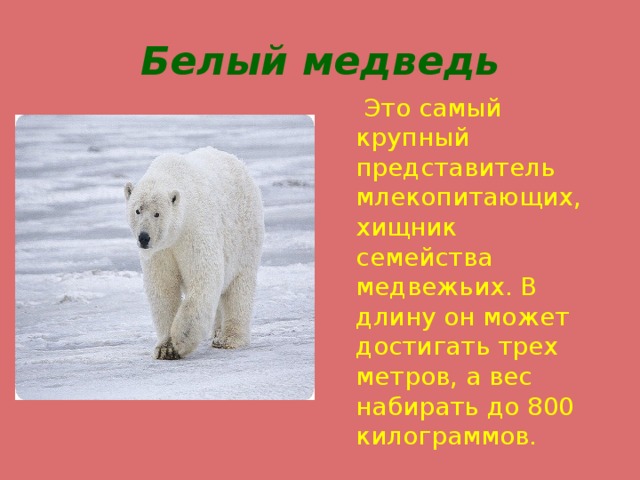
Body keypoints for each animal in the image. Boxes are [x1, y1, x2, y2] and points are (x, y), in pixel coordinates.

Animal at [124, 147, 264, 360]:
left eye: (157, 213)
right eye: (137, 210)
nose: (144, 237)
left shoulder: (194, 229)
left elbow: (204, 277)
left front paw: (180, 341)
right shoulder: (161, 251)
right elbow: (163, 288)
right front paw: (164, 348)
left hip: (245, 237)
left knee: (239, 288)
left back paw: (229, 338)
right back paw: (217, 332)